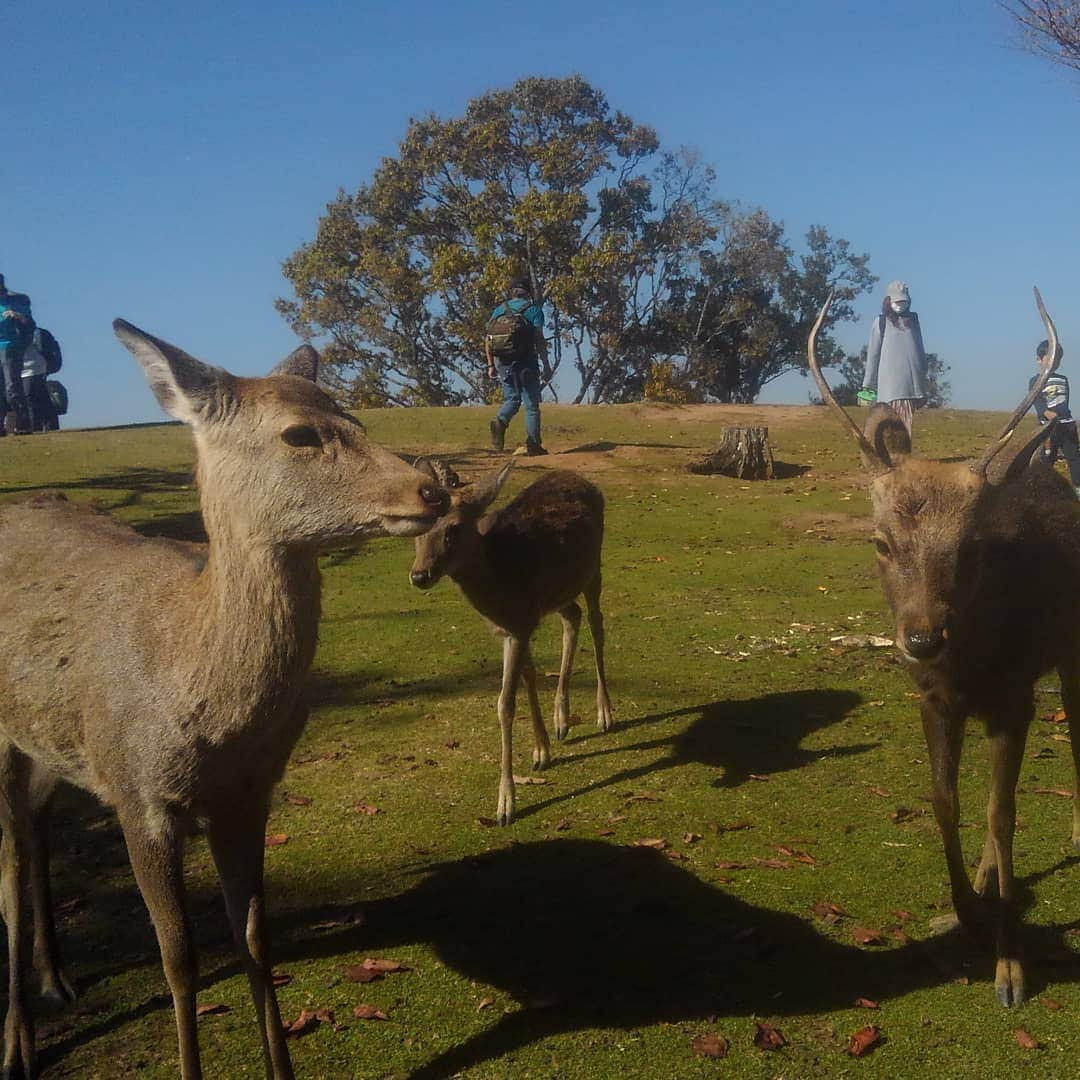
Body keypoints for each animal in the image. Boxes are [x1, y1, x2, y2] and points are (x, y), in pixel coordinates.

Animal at [0, 319, 447, 1080]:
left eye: (356, 419)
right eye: (300, 433)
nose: (432, 490)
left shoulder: (250, 794)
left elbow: (254, 939)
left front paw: (282, 1068)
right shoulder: (136, 792)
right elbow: (178, 959)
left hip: (48, 746)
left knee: (33, 832)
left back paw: (57, 981)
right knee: (7, 865)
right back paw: (18, 1046)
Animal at [408, 464, 613, 825]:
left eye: (454, 528)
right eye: (420, 528)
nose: (420, 575)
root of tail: (581, 478)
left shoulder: (519, 626)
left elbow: (505, 705)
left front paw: (506, 804)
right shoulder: (515, 626)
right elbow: (530, 676)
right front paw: (542, 750)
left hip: (593, 569)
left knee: (596, 624)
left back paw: (604, 713)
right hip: (559, 594)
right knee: (572, 617)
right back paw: (562, 719)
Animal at [807, 285, 1075, 1002]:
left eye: (972, 545)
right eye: (879, 541)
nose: (923, 637)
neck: (971, 669)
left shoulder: (1014, 698)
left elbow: (1005, 814)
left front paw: (1010, 968)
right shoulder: (933, 699)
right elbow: (948, 802)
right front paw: (968, 914)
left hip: (1071, 653)